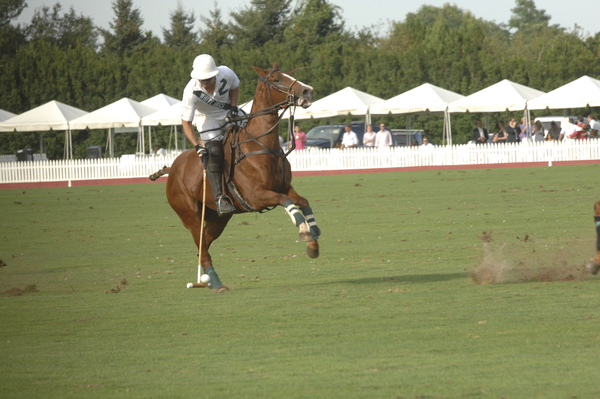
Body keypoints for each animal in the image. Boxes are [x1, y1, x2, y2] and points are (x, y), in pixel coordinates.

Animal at [162, 63, 322, 294]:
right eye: (276, 79)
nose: (307, 91)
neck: (260, 144)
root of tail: (172, 168)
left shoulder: (283, 186)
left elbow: (302, 200)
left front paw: (313, 240)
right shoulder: (256, 196)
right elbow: (287, 202)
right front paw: (304, 232)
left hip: (218, 218)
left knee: (204, 244)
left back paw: (206, 280)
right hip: (190, 215)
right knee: (201, 245)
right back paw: (216, 283)